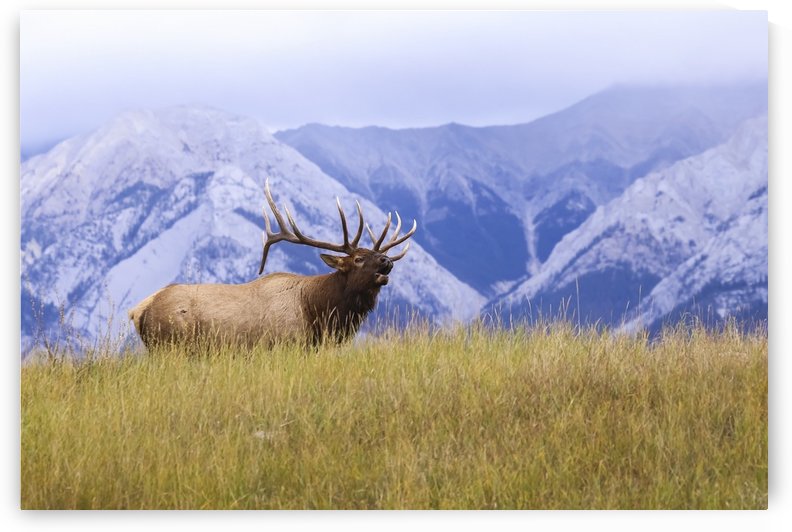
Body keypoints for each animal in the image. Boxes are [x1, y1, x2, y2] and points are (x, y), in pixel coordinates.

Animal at [127, 179, 417, 350]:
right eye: (357, 259)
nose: (386, 261)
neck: (316, 312)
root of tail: (138, 310)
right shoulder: (283, 345)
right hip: (170, 345)